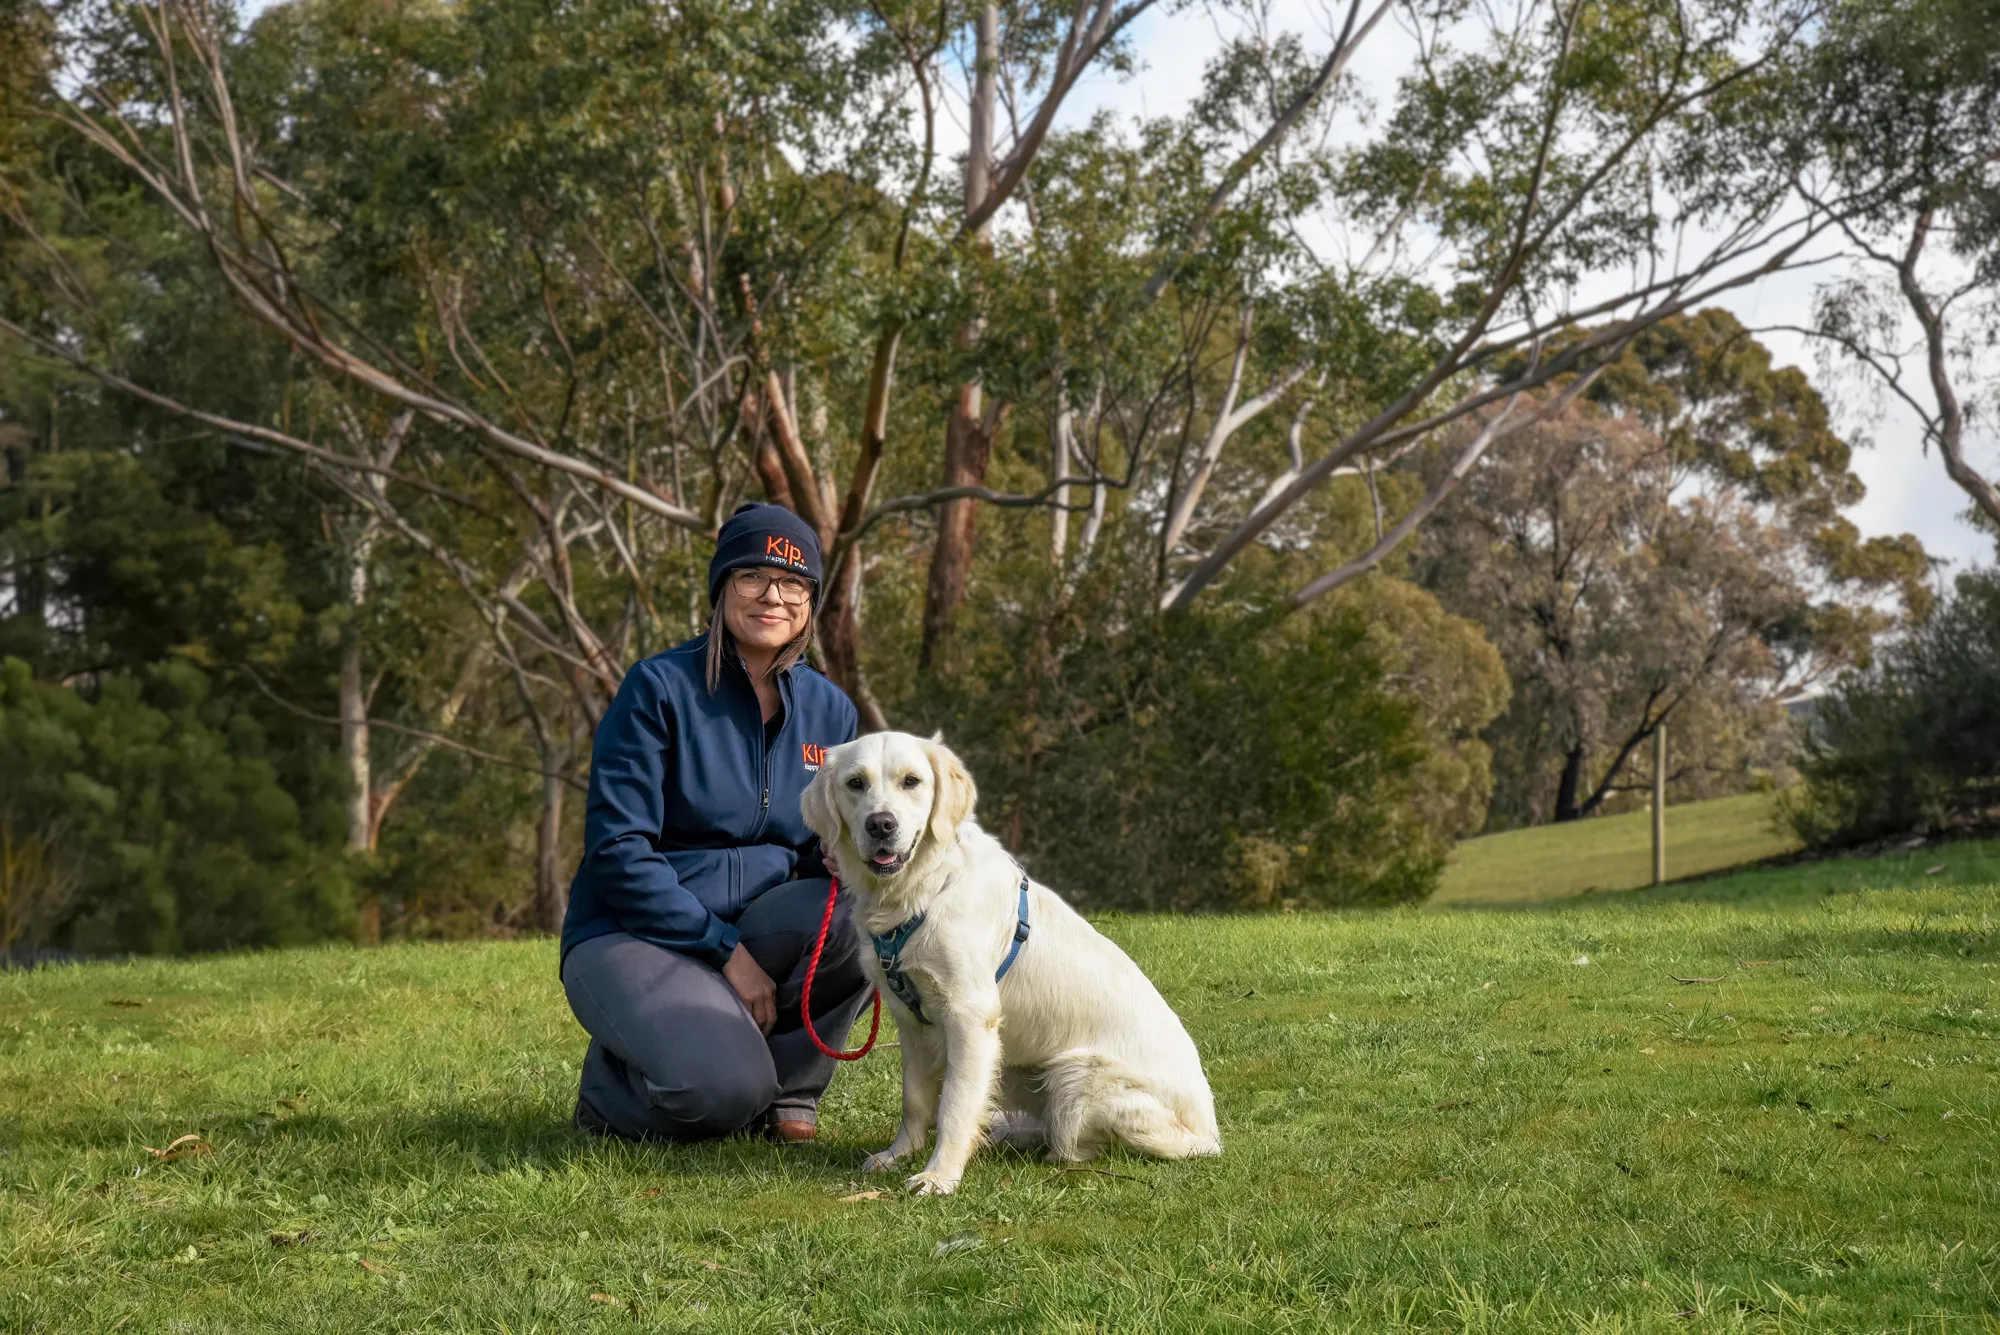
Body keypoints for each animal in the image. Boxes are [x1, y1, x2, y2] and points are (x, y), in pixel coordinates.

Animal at [800, 731, 1216, 1199]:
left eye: (911, 781)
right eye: (856, 783)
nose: (881, 825)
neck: (923, 890)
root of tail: (1209, 1134)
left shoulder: (969, 1017)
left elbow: (955, 1104)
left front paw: (940, 1175)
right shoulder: (910, 1020)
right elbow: (916, 1100)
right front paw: (897, 1154)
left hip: (1076, 1073)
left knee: (1072, 1144)